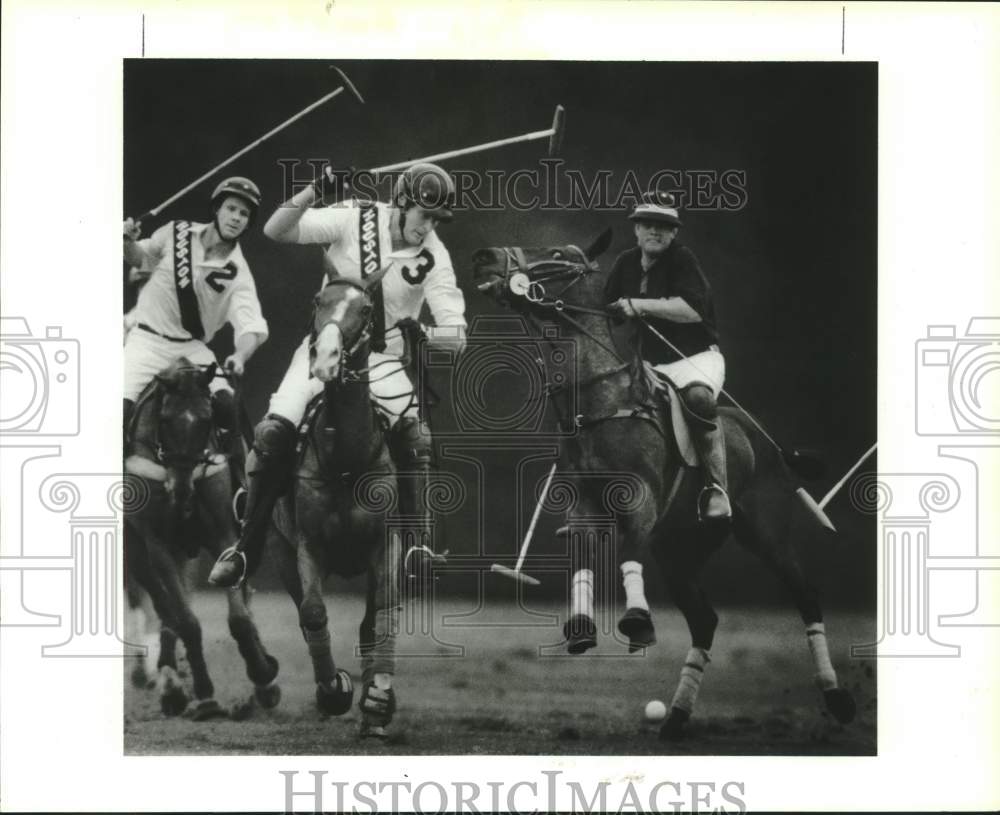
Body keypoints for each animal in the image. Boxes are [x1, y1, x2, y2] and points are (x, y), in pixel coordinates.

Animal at [127, 356, 282, 720]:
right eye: (165, 419)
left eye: (209, 419)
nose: (181, 491)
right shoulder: (156, 545)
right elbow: (186, 620)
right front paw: (204, 693)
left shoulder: (224, 533)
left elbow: (240, 618)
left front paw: (263, 675)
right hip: (138, 553)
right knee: (164, 606)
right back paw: (170, 684)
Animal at [472, 234, 856, 740]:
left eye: (554, 254)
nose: (486, 257)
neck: (599, 400)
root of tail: (769, 445)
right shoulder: (584, 506)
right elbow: (581, 559)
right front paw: (580, 629)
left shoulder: (641, 498)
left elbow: (628, 551)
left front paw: (637, 621)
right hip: (680, 549)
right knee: (705, 620)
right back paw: (675, 717)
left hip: (766, 532)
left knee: (806, 595)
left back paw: (837, 698)